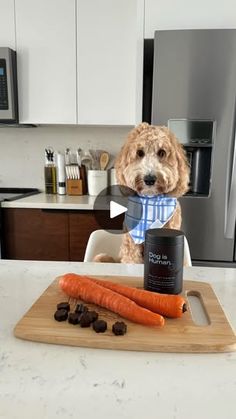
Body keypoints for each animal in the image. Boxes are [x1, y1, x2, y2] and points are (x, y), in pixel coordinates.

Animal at [94, 123, 190, 264]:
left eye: (162, 152)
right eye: (140, 153)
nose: (149, 179)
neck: (151, 201)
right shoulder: (131, 242)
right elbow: (132, 259)